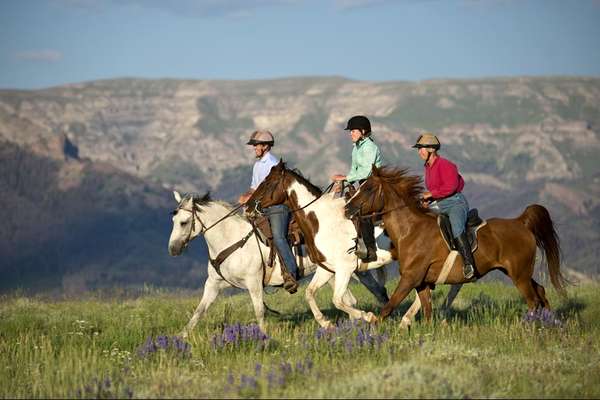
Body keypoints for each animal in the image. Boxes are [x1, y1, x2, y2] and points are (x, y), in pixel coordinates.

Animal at [166, 192, 390, 336]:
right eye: (174, 221)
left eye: (184, 222)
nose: (173, 249)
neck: (231, 239)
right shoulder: (213, 284)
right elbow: (198, 311)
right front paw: (181, 338)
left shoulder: (254, 283)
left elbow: (259, 311)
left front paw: (265, 338)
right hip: (334, 274)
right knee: (351, 299)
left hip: (350, 270)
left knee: (373, 292)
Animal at [342, 164, 568, 324]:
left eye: (368, 188)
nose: (346, 209)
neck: (410, 230)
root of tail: (520, 222)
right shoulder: (422, 282)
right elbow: (426, 313)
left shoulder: (410, 278)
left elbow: (387, 308)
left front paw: (371, 329)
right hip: (518, 272)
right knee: (541, 292)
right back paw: (550, 324)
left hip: (519, 276)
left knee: (532, 301)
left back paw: (530, 327)